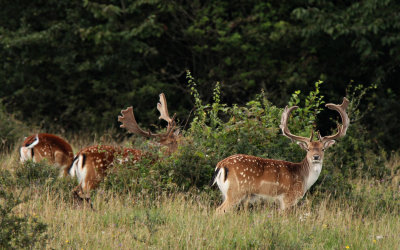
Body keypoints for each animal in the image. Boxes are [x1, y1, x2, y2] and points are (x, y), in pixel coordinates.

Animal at [211, 97, 348, 213]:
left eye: (323, 149)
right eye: (308, 149)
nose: (316, 157)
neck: (303, 179)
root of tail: (221, 165)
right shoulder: (288, 198)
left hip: (226, 193)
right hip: (236, 191)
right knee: (218, 211)